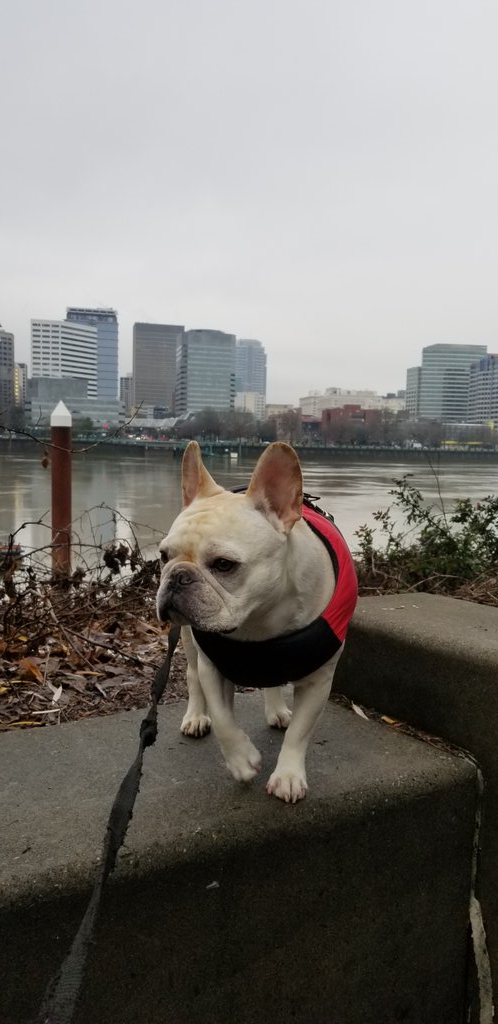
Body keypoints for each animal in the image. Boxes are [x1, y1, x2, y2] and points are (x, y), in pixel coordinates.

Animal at [156, 440, 357, 803]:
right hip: (190, 642)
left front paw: (288, 776)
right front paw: (242, 761)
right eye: (163, 556)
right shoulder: (212, 668)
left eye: (224, 564)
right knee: (192, 676)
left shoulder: (318, 681)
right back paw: (196, 716)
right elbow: (223, 719)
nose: (177, 577)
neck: (259, 619)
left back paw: (277, 710)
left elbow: (300, 732)